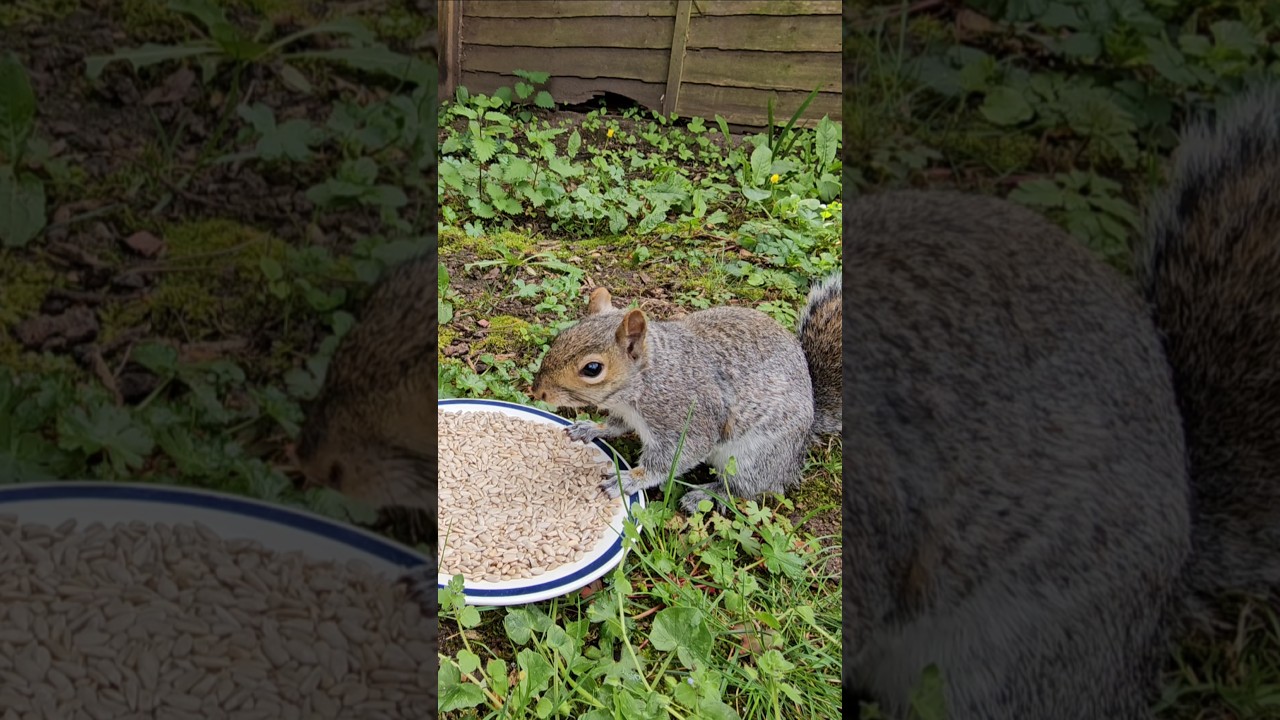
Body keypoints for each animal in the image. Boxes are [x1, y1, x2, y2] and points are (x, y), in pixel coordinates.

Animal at [531, 276, 841, 515]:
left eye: (592, 368)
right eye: (561, 337)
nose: (538, 391)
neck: (646, 382)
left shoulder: (687, 420)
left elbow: (676, 457)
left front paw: (630, 478)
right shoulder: (626, 412)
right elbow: (616, 425)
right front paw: (592, 428)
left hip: (755, 457)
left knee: (750, 488)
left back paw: (705, 494)